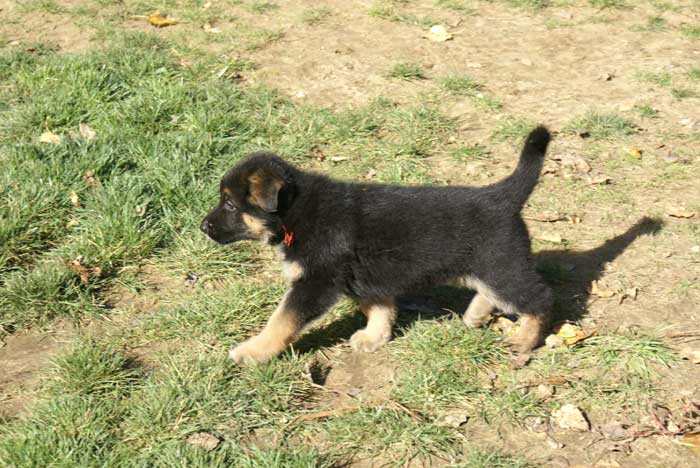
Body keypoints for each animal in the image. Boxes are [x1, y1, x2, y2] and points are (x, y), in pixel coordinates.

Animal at [201, 126, 552, 364]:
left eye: (229, 204)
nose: (203, 227)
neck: (296, 213)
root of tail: (502, 196)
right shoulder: (367, 278)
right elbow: (379, 308)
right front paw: (374, 337)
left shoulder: (315, 283)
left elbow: (282, 320)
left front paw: (253, 351)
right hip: (490, 268)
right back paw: (476, 315)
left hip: (502, 265)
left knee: (539, 298)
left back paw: (524, 340)